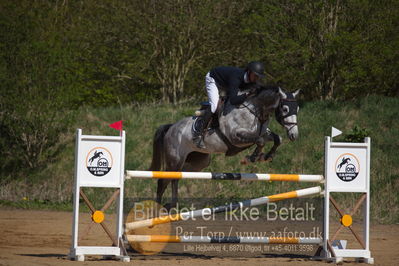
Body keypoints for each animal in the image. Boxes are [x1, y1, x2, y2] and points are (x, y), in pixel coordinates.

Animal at [150, 85, 300, 208]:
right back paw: (167, 206)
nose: (294, 135)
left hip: (198, 162)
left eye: (297, 109)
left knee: (173, 178)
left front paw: (267, 156)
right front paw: (252, 158)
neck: (255, 110)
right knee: (169, 179)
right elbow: (260, 141)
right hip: (175, 160)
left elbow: (277, 138)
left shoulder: (263, 133)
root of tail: (171, 127)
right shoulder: (236, 137)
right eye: (285, 109)